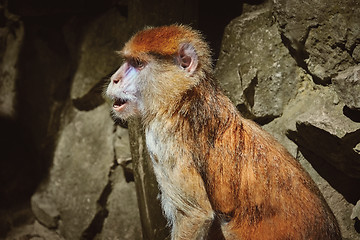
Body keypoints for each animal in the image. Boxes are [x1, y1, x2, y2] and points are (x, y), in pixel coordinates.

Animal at [105, 25, 342, 239]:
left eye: (137, 63)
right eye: (127, 61)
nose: (114, 79)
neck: (185, 94)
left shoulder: (162, 134)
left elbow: (195, 215)